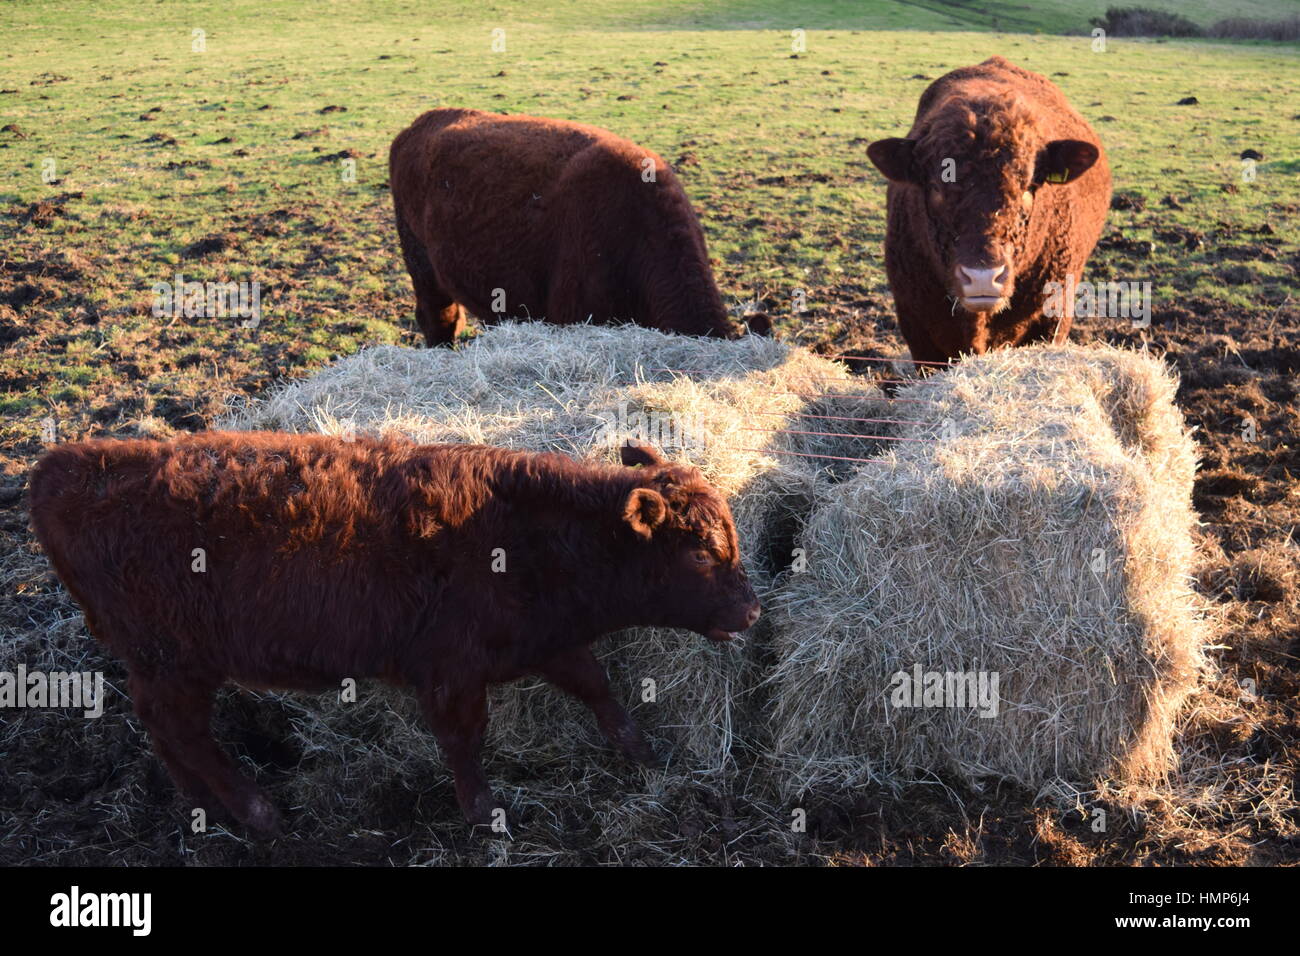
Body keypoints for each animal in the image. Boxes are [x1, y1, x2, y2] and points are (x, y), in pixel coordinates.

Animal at [27, 432, 760, 832]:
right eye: (702, 553)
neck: (523, 534)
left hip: (163, 667)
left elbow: (598, 688)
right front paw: (482, 811)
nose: (752, 613)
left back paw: (198, 801)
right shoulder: (451, 674)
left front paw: (644, 752)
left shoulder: (547, 642)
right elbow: (465, 742)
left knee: (163, 730)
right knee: (184, 733)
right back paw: (258, 813)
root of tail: (67, 465)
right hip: (176, 664)